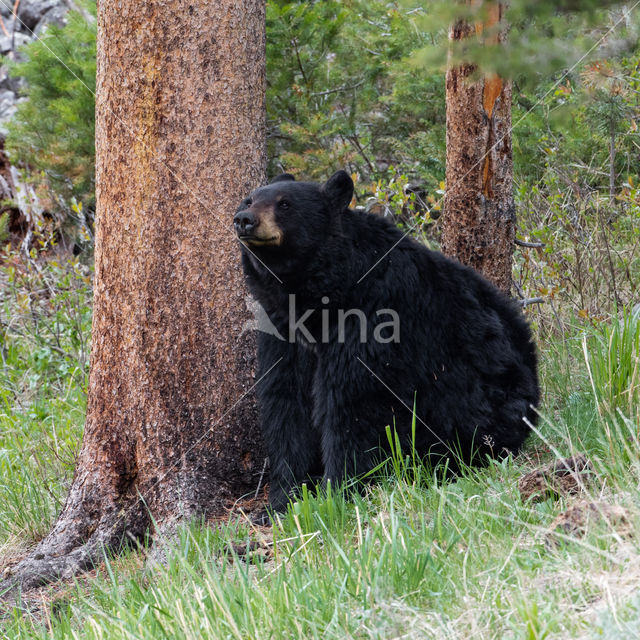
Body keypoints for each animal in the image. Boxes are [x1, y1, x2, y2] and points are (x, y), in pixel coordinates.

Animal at [235, 171, 540, 516]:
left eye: (284, 204)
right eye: (248, 199)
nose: (244, 219)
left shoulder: (374, 313)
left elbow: (354, 403)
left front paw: (337, 492)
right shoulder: (283, 334)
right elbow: (286, 401)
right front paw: (281, 498)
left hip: (480, 402)